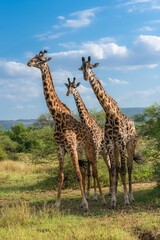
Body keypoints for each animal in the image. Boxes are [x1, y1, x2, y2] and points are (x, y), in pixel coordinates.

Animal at [26, 50, 105, 210]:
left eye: (40, 59)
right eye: (35, 57)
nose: (28, 63)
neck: (56, 116)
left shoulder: (71, 146)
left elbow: (78, 173)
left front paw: (85, 203)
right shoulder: (60, 148)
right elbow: (60, 175)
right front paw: (57, 203)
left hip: (91, 148)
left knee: (94, 169)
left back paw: (102, 198)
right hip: (82, 150)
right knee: (89, 170)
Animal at [79, 56, 138, 208]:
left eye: (91, 67)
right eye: (81, 68)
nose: (86, 76)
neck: (109, 111)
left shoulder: (121, 141)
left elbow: (122, 169)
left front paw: (126, 199)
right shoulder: (111, 143)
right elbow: (113, 169)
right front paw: (113, 200)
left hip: (130, 144)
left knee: (129, 167)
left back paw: (131, 196)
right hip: (116, 147)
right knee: (116, 167)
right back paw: (116, 193)